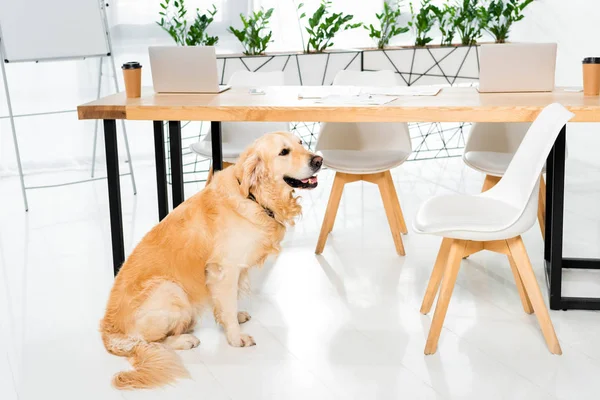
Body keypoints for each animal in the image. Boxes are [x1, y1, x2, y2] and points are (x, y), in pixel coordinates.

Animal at [99, 133, 324, 390]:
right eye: (284, 152)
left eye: (301, 143)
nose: (318, 160)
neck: (254, 197)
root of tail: (109, 335)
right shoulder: (225, 269)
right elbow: (228, 303)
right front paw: (236, 338)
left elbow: (227, 303)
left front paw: (231, 319)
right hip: (170, 289)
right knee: (149, 342)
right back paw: (185, 339)